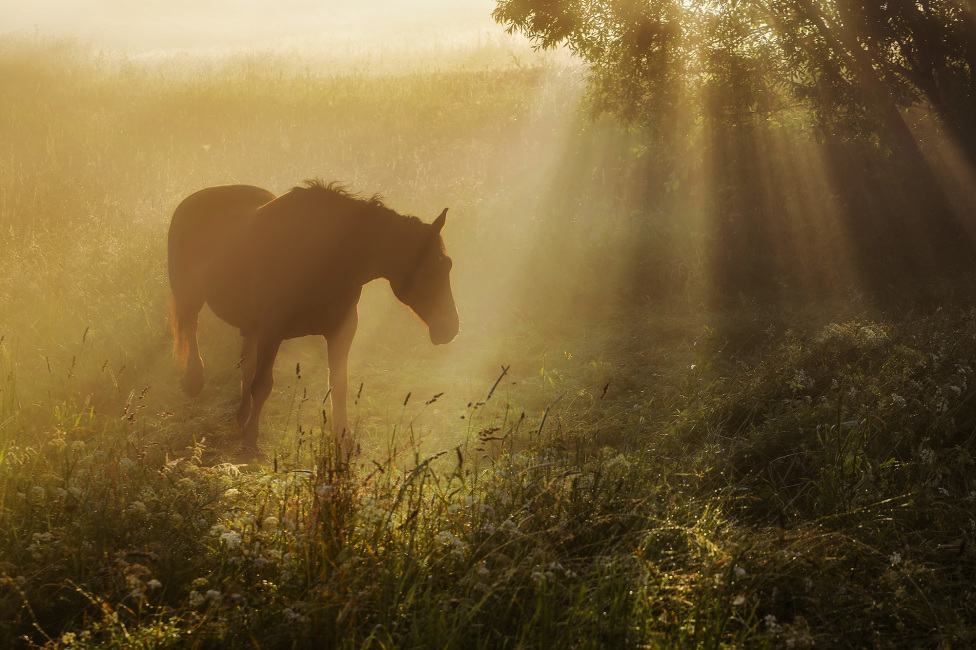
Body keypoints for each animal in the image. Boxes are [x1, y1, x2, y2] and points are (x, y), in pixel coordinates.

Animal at [168, 180, 462, 458]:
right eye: (429, 269)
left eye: (447, 264)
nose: (450, 328)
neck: (324, 258)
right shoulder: (271, 330)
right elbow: (263, 385)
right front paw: (250, 443)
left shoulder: (342, 329)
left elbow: (338, 384)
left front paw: (344, 439)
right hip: (189, 294)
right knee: (190, 327)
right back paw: (194, 379)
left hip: (249, 326)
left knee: (246, 362)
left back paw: (241, 415)